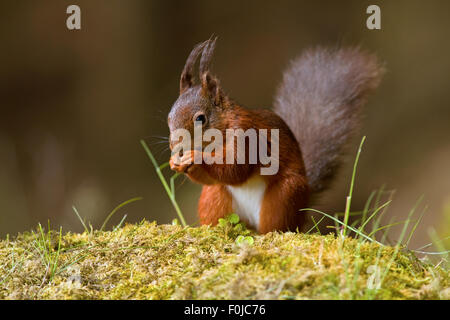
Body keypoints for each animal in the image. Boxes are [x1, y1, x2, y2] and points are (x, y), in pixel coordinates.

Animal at [167, 38, 384, 232]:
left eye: (200, 119)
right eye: (169, 117)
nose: (175, 146)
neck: (222, 131)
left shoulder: (247, 135)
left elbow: (236, 168)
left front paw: (195, 157)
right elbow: (217, 177)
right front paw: (174, 162)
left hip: (284, 196)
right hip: (213, 197)